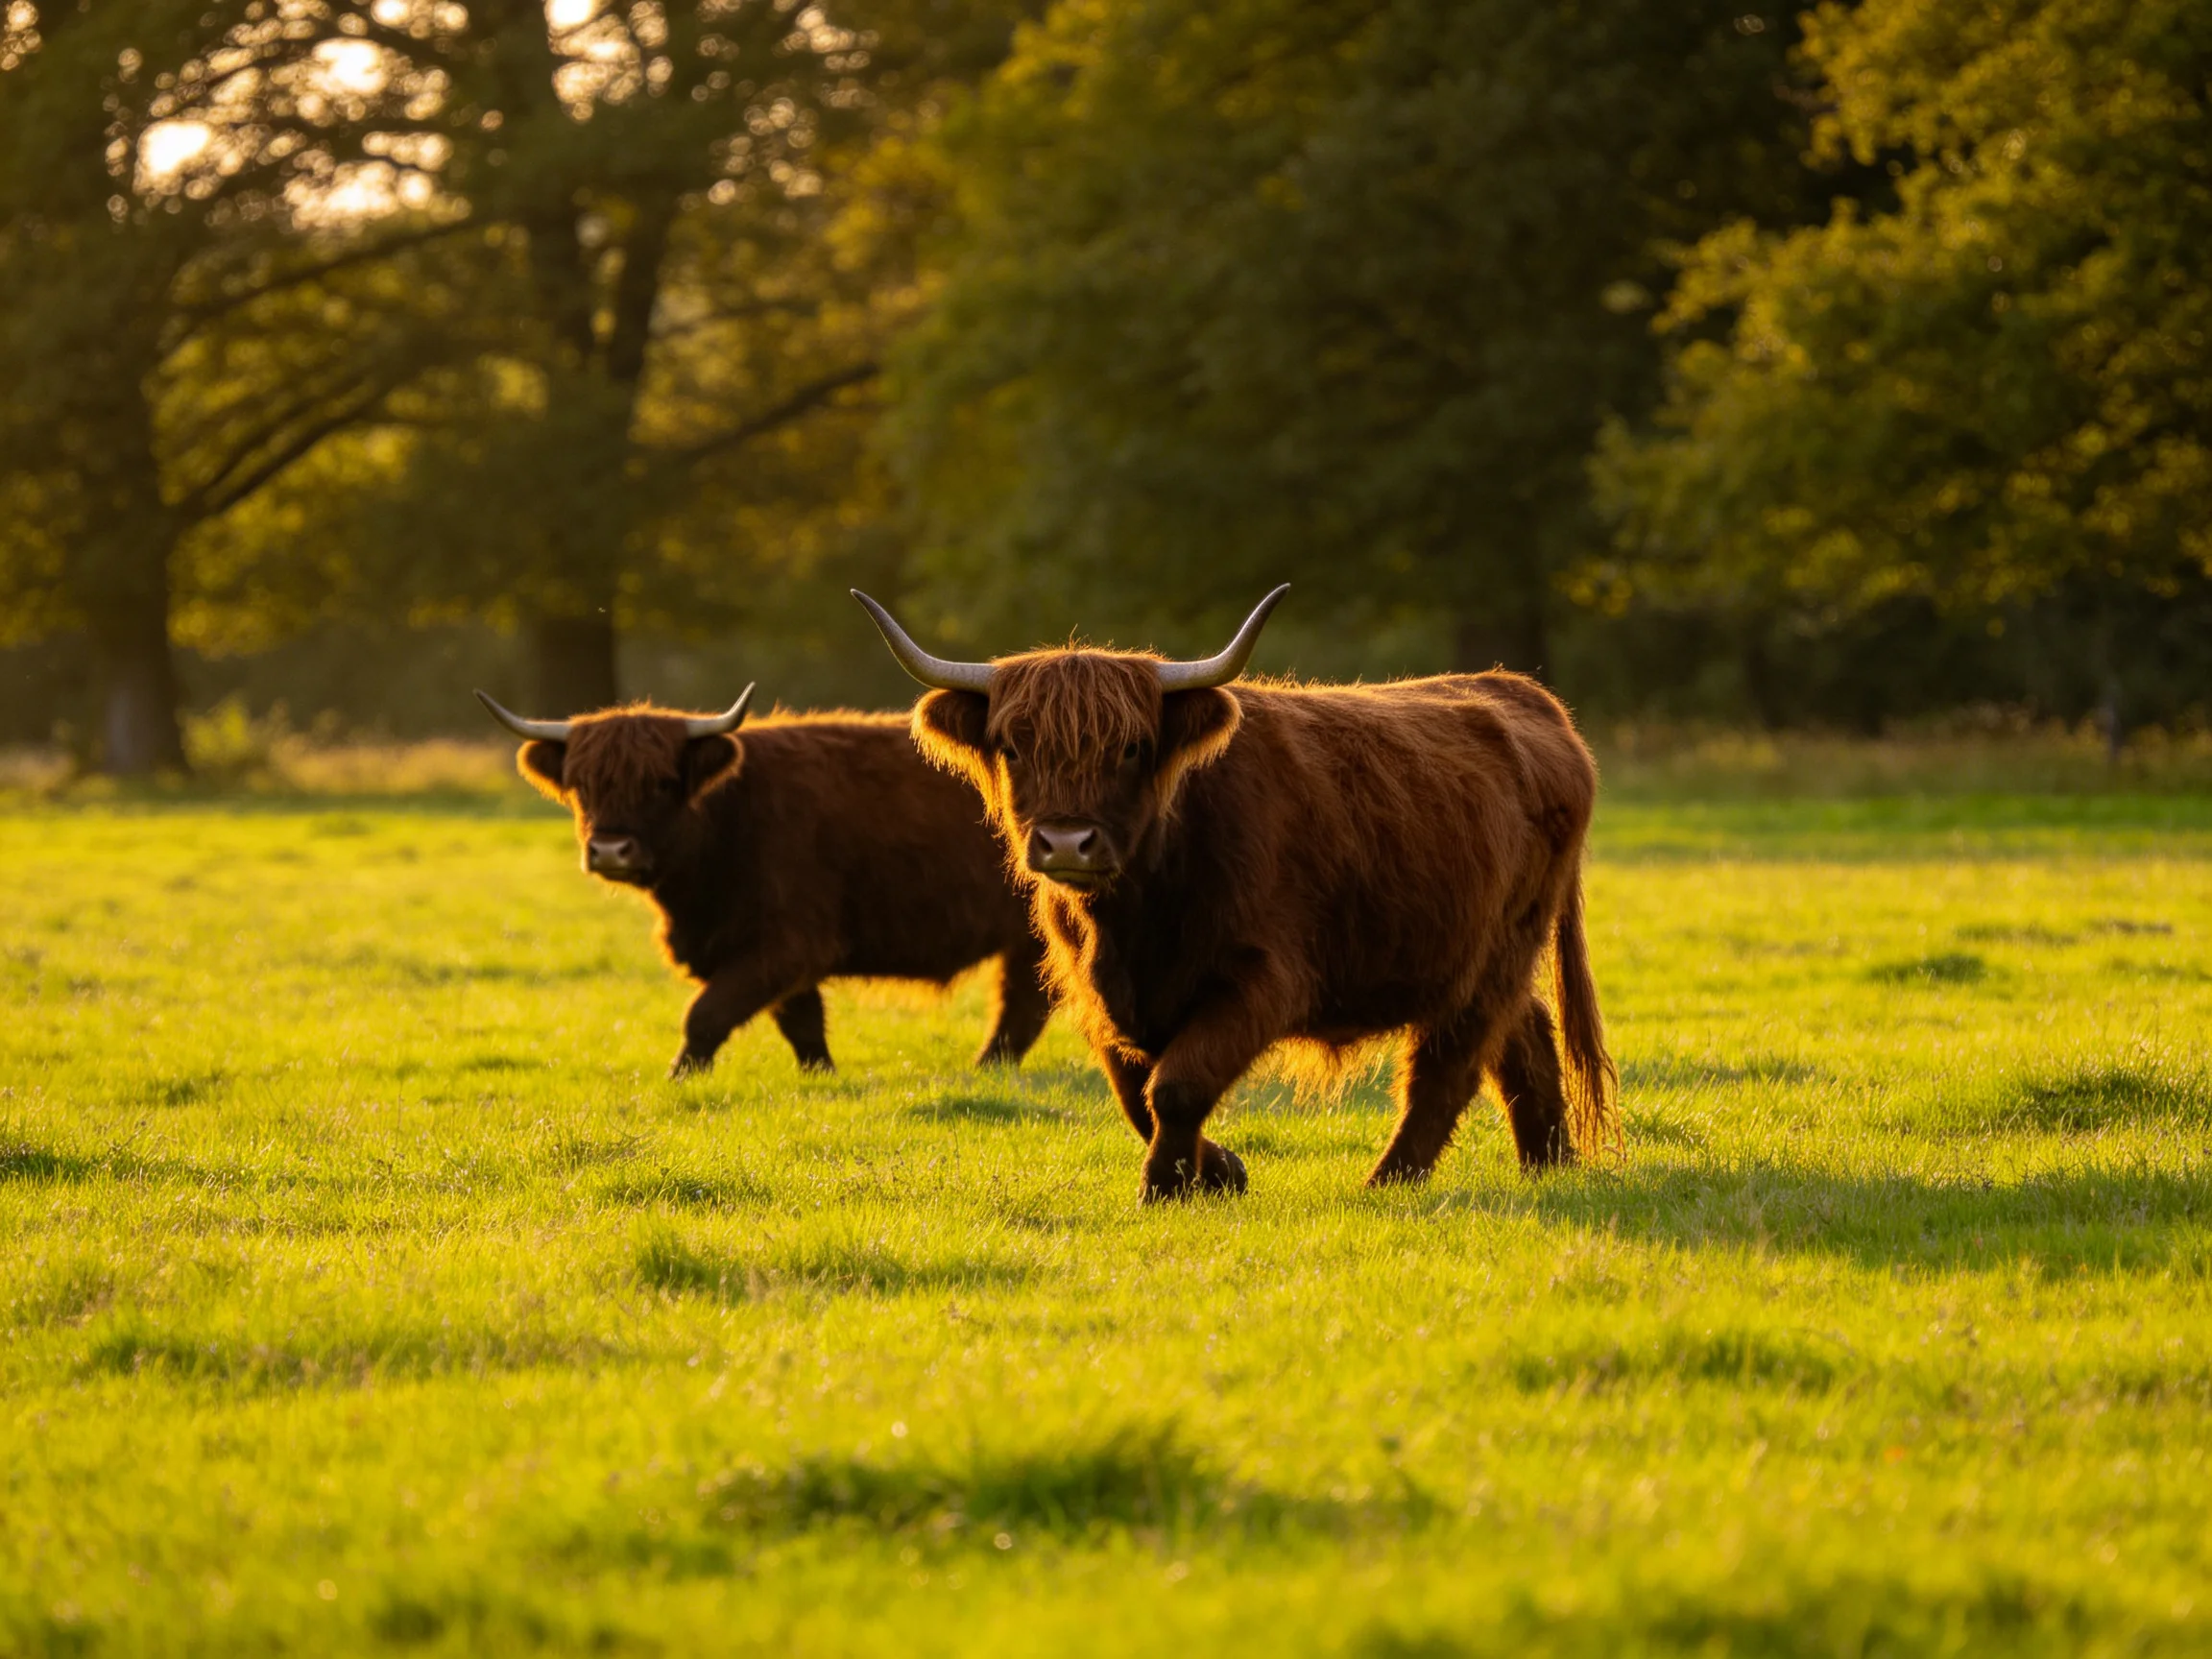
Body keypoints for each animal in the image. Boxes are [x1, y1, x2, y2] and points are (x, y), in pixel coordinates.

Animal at [476, 687, 1050, 1077]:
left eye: (662, 783)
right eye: (582, 785)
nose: (611, 850)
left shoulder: (787, 942)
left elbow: (705, 1014)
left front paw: (679, 1077)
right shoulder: (779, 954)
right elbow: (803, 1024)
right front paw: (823, 1077)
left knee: (1022, 1005)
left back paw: (985, 1069)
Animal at [851, 587, 1616, 1200]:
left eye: (1132, 747)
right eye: (1013, 746)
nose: (1067, 843)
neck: (1135, 918)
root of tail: (1518, 692)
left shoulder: (1262, 976)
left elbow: (1177, 1085)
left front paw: (1167, 1187)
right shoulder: (1099, 993)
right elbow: (1134, 1093)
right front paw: (1219, 1173)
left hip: (1498, 949)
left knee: (1448, 1064)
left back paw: (1389, 1182)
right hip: (1471, 954)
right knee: (1523, 1034)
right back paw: (1549, 1164)